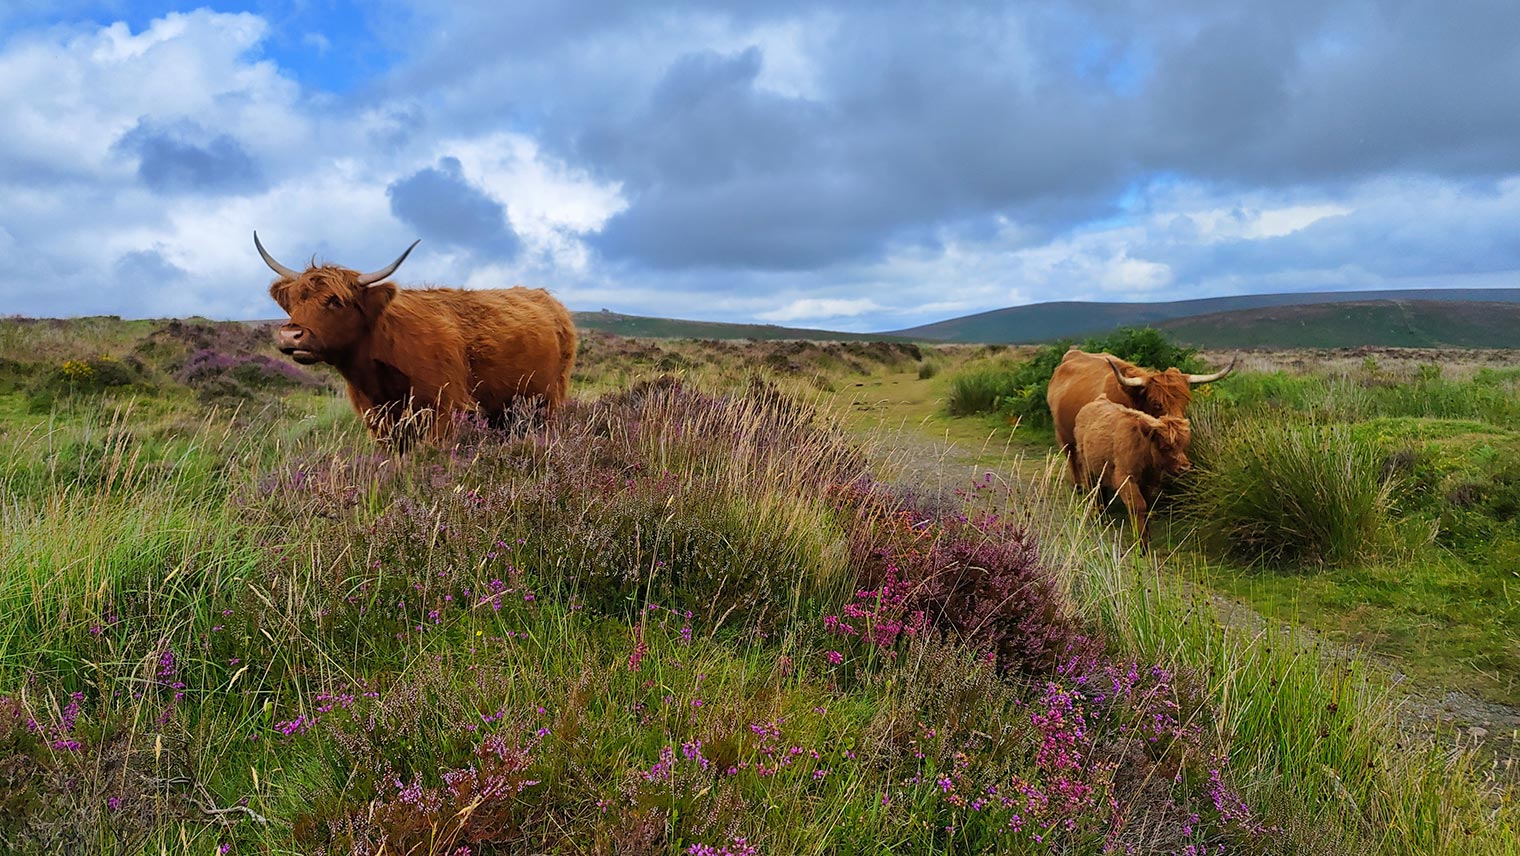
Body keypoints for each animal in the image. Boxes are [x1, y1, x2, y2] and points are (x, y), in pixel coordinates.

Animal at [257, 232, 576, 445]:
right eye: (294, 300)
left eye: (336, 301)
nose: (291, 334)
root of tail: (548, 298)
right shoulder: (379, 422)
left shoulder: (444, 412)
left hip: (550, 400)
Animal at [1047, 347, 1231, 485]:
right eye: (1157, 403)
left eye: (1185, 401)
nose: (1182, 429)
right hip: (1062, 433)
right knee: (1071, 455)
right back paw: (1079, 485)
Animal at [1074, 394, 1192, 548]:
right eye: (1165, 446)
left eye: (1183, 445)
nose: (1184, 467)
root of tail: (1098, 400)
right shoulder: (1125, 479)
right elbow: (1138, 506)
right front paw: (1141, 542)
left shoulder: (1148, 483)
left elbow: (1146, 505)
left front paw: (1147, 535)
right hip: (1088, 470)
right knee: (1094, 492)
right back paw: (1098, 518)